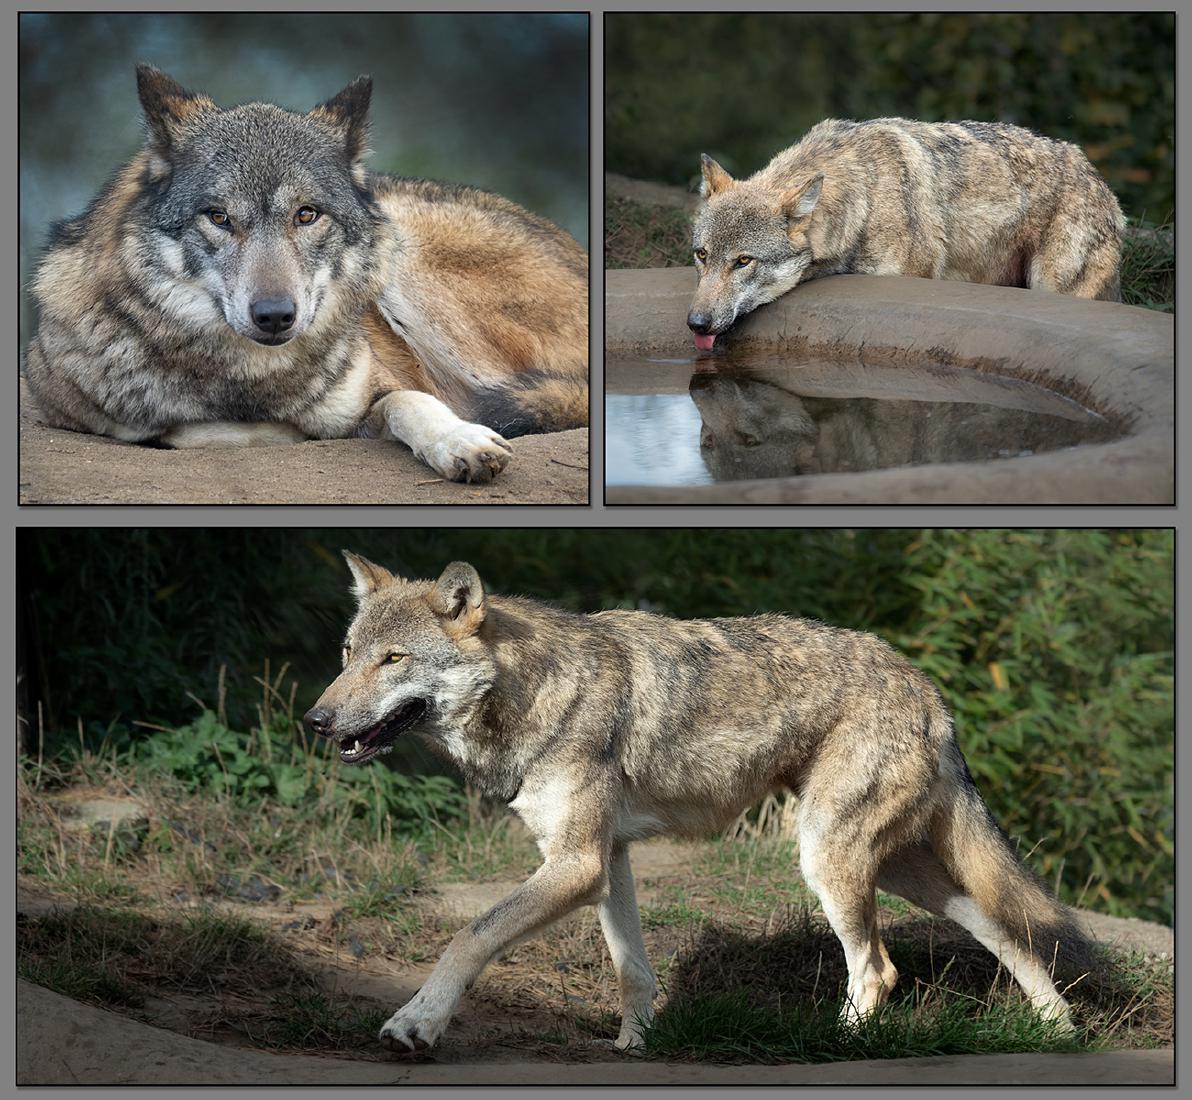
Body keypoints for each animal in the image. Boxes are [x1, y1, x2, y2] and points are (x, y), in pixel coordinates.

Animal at [24, 66, 588, 484]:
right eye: (219, 217)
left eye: (307, 214)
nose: (275, 315)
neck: (252, 380)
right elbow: (193, 433)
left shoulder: (380, 388)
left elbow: (412, 400)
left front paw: (461, 442)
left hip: (407, 263)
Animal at [305, 554, 1095, 1054]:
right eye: (346, 654)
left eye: (393, 660)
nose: (314, 720)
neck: (532, 693)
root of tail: (931, 692)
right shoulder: (608, 861)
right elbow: (633, 970)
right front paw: (634, 1047)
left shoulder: (576, 863)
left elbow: (469, 937)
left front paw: (417, 1025)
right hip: (892, 869)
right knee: (1009, 928)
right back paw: (1059, 1035)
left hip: (830, 861)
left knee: (879, 969)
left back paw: (839, 1047)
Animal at [688, 118, 1124, 348]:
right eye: (702, 255)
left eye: (743, 261)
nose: (696, 322)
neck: (863, 196)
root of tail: (1099, 178)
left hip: (1052, 286)